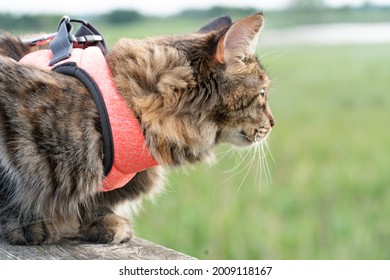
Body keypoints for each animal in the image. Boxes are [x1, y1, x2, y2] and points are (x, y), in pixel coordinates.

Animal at [0, 13, 274, 245]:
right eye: (262, 94)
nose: (273, 123)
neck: (130, 106)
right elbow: (11, 185)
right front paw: (26, 223)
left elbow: (93, 201)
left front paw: (101, 222)